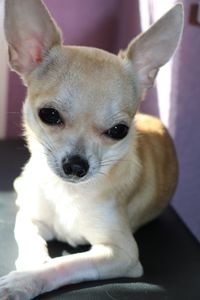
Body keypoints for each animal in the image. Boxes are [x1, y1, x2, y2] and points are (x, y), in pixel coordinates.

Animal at [0, 1, 183, 298]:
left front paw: (25, 279)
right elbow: (29, 241)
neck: (67, 192)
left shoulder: (121, 253)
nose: (76, 166)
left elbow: (67, 264)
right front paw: (31, 266)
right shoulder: (29, 219)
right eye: (49, 115)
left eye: (119, 131)